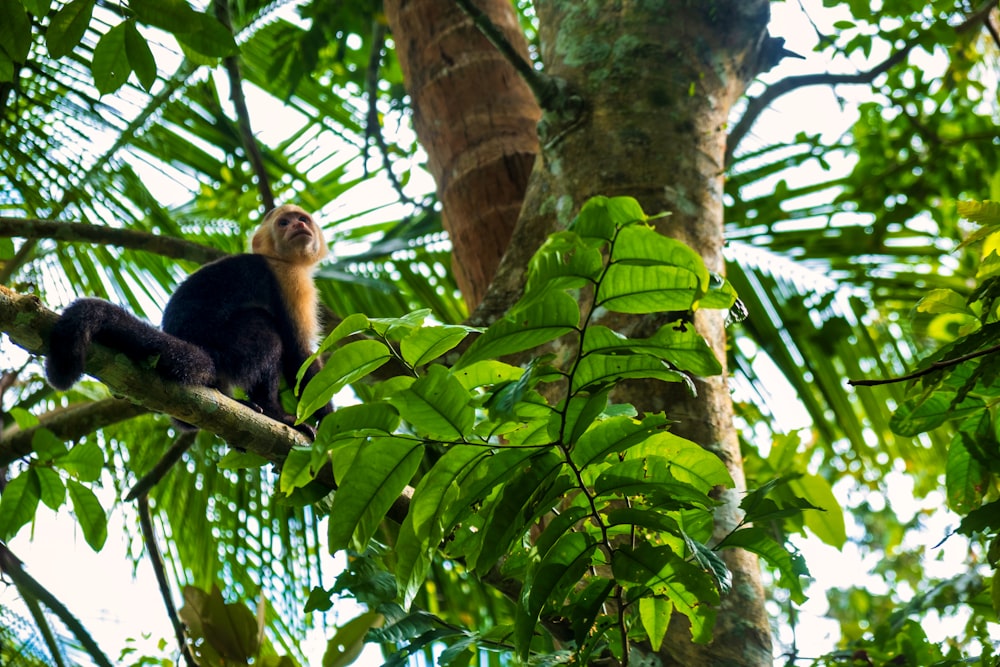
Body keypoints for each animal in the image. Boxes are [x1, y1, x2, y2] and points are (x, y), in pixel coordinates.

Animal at [46, 206, 332, 436]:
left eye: (302, 219)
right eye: (284, 223)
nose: (299, 226)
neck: (280, 259)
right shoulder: (290, 279)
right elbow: (297, 354)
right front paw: (327, 418)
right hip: (227, 349)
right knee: (265, 328)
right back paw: (273, 411)